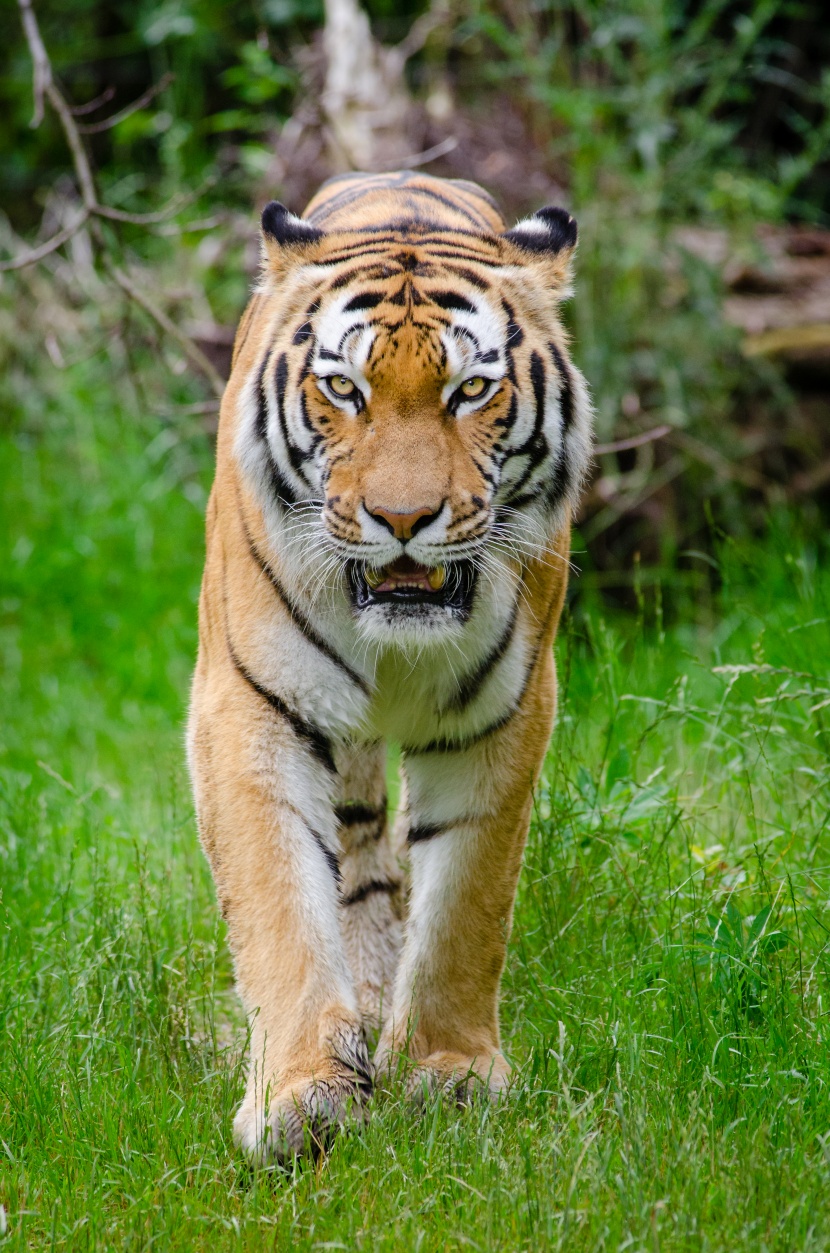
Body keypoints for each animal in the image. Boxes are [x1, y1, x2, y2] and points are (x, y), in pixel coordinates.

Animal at [188, 169, 591, 1162]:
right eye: (344, 387)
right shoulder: (250, 707)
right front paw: (303, 1095)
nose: (403, 518)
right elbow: (282, 903)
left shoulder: (504, 716)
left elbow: (465, 905)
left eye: (471, 389)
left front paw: (449, 1073)